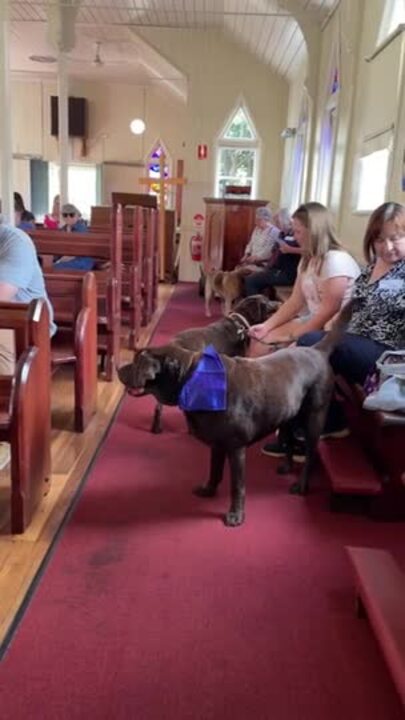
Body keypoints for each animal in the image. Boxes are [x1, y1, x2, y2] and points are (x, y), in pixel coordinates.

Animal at [117, 310, 350, 528]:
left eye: (137, 363)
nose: (118, 367)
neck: (190, 377)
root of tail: (317, 350)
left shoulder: (236, 448)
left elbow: (237, 486)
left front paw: (236, 515)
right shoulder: (217, 444)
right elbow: (214, 470)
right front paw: (208, 490)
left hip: (314, 418)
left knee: (310, 454)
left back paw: (301, 486)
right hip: (288, 415)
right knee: (289, 439)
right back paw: (286, 466)